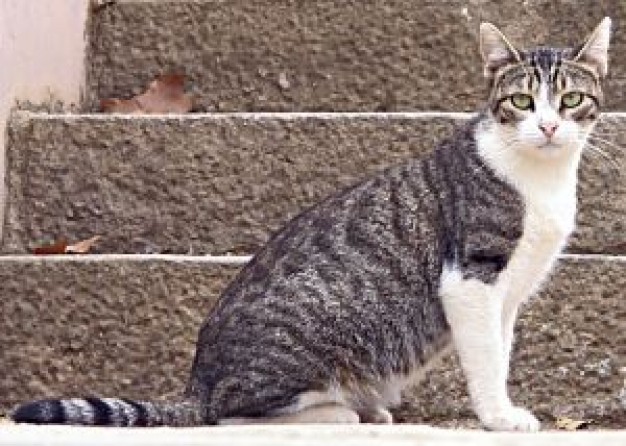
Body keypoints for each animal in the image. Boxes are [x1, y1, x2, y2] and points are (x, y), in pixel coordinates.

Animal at [11, 18, 608, 432]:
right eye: (522, 100)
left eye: (571, 99)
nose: (548, 126)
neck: (542, 180)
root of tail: (198, 382)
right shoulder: (472, 276)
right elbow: (486, 361)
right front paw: (499, 417)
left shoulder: (508, 293)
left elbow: (500, 352)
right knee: (229, 413)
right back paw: (339, 412)